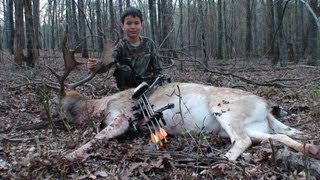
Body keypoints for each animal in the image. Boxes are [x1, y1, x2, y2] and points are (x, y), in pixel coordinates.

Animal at [51, 27, 318, 162]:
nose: (54, 121)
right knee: (274, 137)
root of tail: (265, 105)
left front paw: (69, 155)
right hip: (251, 125)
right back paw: (311, 148)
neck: (102, 106)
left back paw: (215, 163)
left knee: (243, 141)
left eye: (60, 104)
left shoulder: (123, 118)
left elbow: (98, 137)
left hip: (225, 109)